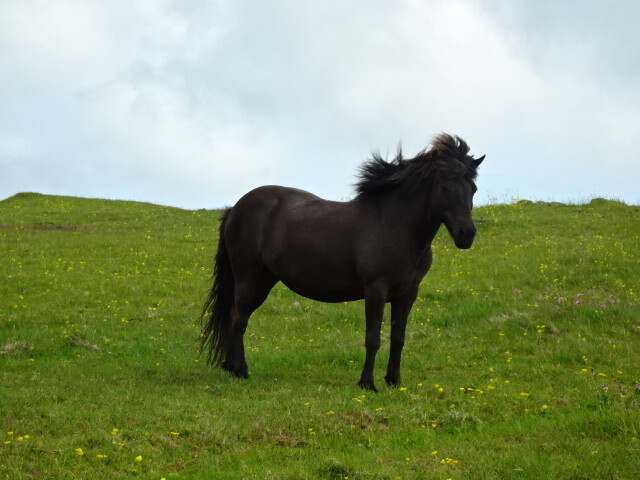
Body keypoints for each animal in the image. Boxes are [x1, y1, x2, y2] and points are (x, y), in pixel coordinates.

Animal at [201, 133, 484, 391]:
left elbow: (398, 338)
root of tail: (235, 208)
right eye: (445, 187)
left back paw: (230, 366)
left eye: (473, 189)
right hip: (247, 276)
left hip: (264, 281)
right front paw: (367, 383)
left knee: (235, 315)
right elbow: (373, 338)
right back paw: (241, 371)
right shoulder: (376, 290)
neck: (394, 226)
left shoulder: (407, 294)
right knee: (239, 319)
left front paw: (393, 380)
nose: (466, 234)